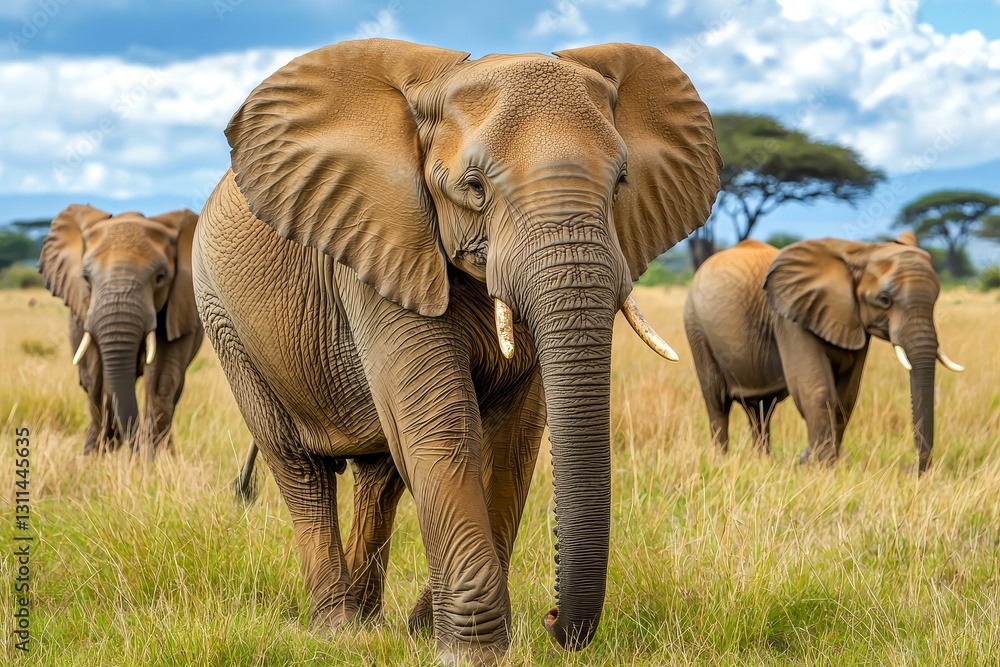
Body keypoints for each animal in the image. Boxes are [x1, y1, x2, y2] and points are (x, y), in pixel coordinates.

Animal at [39, 204, 204, 454]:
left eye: (160, 277)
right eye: (86, 278)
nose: (134, 449)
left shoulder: (180, 305)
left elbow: (161, 378)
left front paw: (156, 459)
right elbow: (95, 378)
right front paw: (97, 456)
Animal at [192, 38, 721, 665]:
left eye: (620, 184)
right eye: (474, 187)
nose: (551, 619)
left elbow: (514, 437)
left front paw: (425, 632)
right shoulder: (384, 242)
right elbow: (444, 427)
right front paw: (469, 653)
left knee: (380, 475)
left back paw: (371, 624)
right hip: (223, 317)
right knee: (300, 468)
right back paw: (338, 629)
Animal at [683, 234, 964, 473]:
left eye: (936, 297)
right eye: (884, 299)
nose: (912, 469)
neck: (860, 251)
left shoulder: (854, 321)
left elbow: (846, 397)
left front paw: (825, 464)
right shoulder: (789, 319)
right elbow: (815, 390)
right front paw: (823, 469)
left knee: (761, 408)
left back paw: (762, 461)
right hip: (696, 326)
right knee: (717, 400)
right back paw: (722, 460)